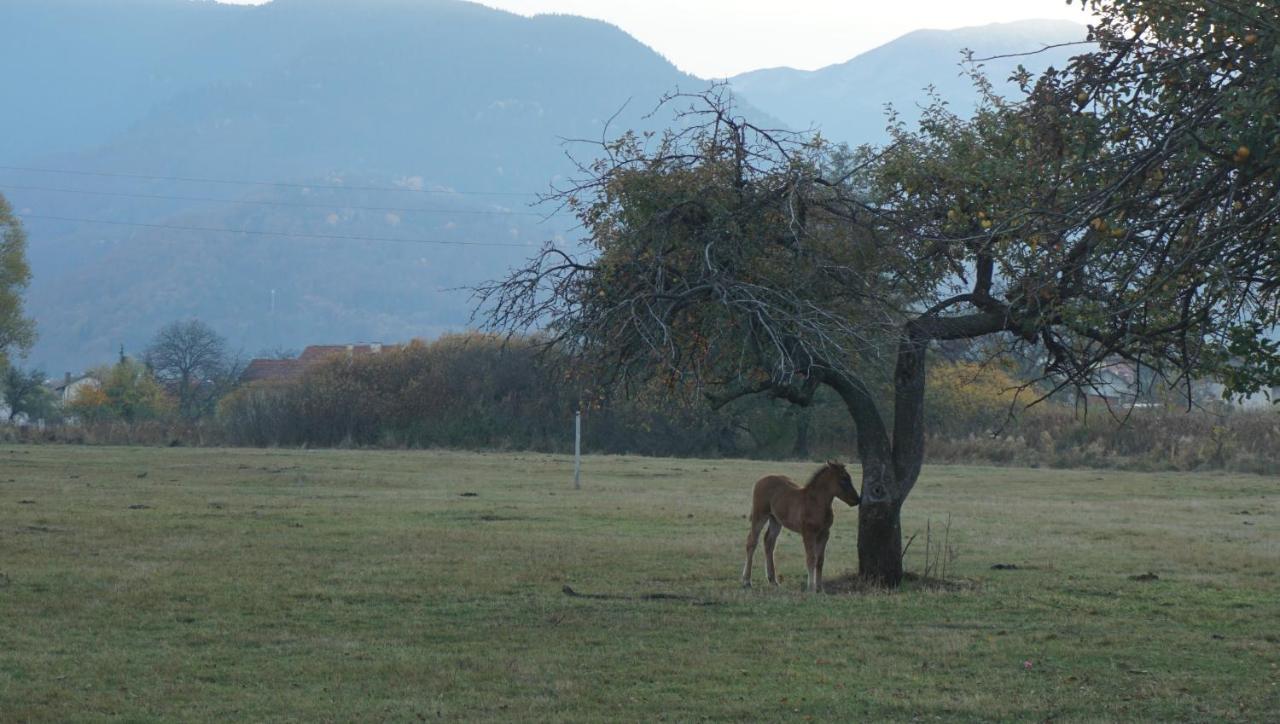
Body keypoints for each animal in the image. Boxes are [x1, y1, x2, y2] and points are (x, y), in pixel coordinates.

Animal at [742, 463, 860, 593]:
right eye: (843, 480)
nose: (857, 499)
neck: (816, 503)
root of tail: (760, 480)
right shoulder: (808, 533)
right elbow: (811, 558)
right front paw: (811, 588)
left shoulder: (824, 534)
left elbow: (820, 560)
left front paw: (820, 588)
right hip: (760, 515)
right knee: (752, 542)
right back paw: (746, 581)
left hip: (775, 520)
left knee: (769, 542)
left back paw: (773, 580)